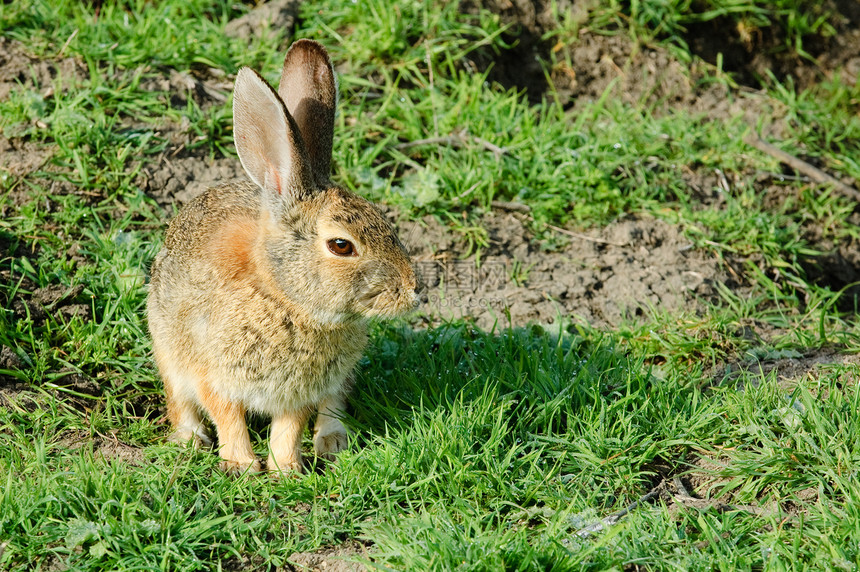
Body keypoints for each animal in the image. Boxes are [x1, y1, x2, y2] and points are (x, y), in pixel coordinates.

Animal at [148, 40, 420, 476]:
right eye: (341, 246)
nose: (413, 291)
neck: (283, 297)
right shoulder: (211, 373)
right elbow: (228, 416)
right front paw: (242, 464)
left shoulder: (301, 392)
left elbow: (289, 426)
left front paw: (285, 469)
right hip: (166, 348)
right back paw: (190, 440)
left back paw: (332, 441)